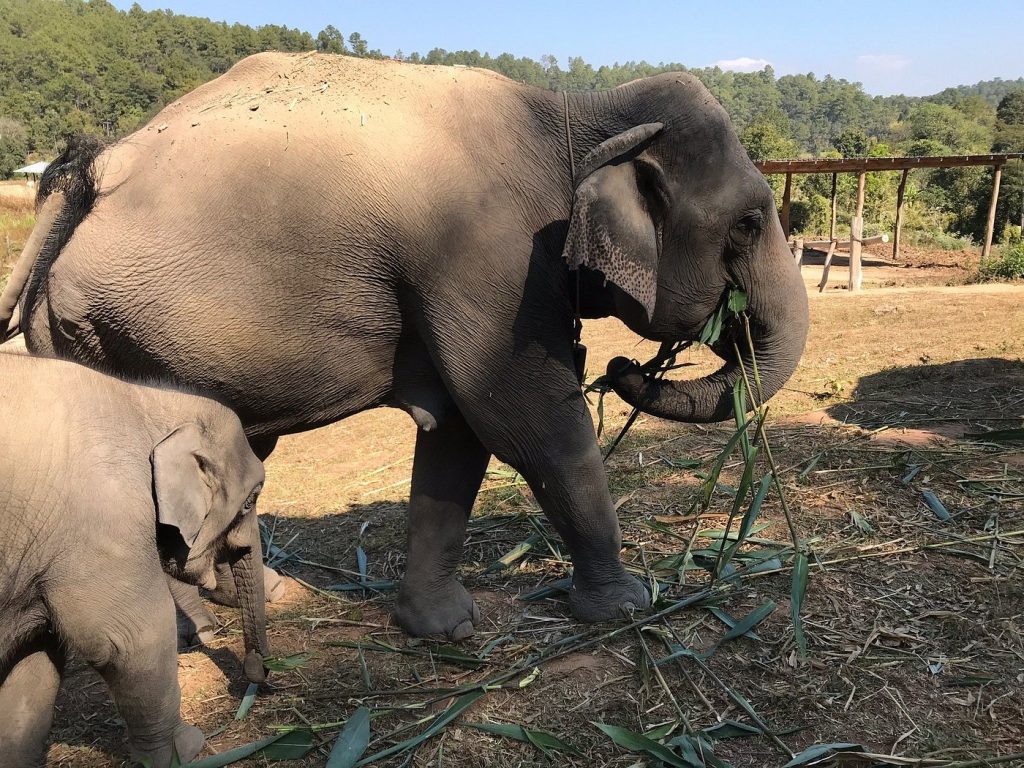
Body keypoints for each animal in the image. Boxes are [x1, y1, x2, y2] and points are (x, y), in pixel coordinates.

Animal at [0, 51, 809, 640]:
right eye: (747, 222)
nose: (620, 366)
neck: (574, 110)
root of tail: (84, 179)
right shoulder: (487, 252)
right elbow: (524, 414)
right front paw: (627, 606)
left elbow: (457, 432)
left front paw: (440, 629)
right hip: (121, 328)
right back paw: (190, 630)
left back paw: (269, 597)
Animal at [0, 352, 270, 768]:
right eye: (250, 499)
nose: (260, 673)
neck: (146, 397)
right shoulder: (101, 520)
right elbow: (130, 639)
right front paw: (187, 749)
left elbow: (32, 662)